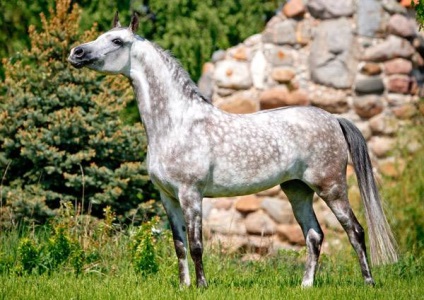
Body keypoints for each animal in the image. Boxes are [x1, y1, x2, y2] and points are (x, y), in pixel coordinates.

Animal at [69, 12, 398, 288]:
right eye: (100, 35)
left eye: (116, 41)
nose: (77, 53)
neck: (176, 123)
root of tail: (332, 118)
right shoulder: (168, 197)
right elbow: (179, 245)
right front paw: (184, 286)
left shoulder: (191, 194)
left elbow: (196, 243)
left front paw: (201, 286)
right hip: (297, 190)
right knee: (314, 235)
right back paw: (306, 285)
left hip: (331, 187)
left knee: (355, 230)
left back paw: (368, 282)